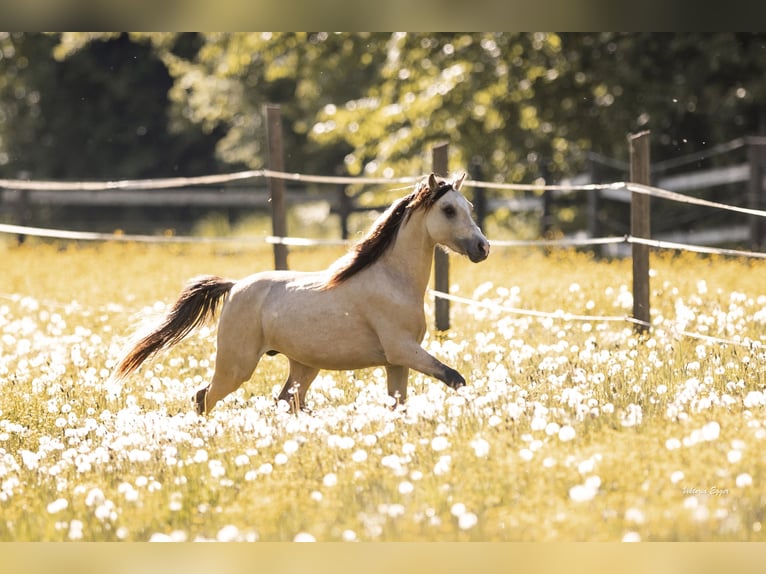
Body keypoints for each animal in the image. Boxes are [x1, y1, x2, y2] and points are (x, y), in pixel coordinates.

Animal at [114, 172, 490, 414]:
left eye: (469, 206)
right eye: (448, 210)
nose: (482, 248)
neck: (394, 281)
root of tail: (234, 286)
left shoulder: (397, 363)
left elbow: (399, 405)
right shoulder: (403, 350)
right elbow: (455, 378)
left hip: (303, 366)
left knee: (284, 401)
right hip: (237, 365)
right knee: (204, 397)